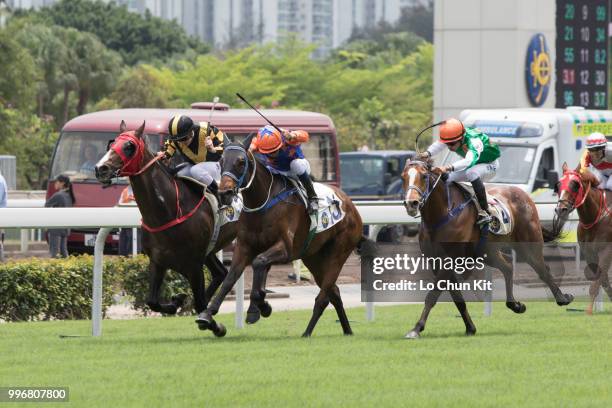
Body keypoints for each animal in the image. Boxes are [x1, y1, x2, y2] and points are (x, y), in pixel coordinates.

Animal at [95, 121, 237, 338]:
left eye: (129, 146)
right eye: (112, 143)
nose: (100, 168)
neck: (169, 209)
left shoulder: (194, 264)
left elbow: (199, 303)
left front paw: (215, 325)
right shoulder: (158, 260)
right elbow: (152, 301)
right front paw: (177, 300)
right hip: (209, 250)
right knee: (220, 272)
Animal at [198, 135, 366, 336]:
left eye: (241, 162)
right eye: (221, 162)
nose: (224, 193)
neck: (262, 203)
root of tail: (351, 206)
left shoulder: (285, 249)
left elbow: (259, 263)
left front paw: (260, 306)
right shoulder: (244, 246)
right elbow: (230, 278)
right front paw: (207, 314)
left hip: (339, 252)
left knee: (323, 297)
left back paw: (307, 333)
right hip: (314, 258)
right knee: (334, 292)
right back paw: (347, 330)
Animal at [402, 159, 572, 338]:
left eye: (424, 176)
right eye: (403, 177)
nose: (411, 203)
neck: (442, 215)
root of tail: (524, 195)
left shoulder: (451, 258)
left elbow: (433, 294)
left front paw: (416, 328)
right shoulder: (435, 261)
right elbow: (456, 297)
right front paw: (470, 327)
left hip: (528, 245)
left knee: (543, 270)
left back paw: (562, 298)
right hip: (486, 252)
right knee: (507, 267)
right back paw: (515, 305)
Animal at [556, 163, 612, 316]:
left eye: (575, 184)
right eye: (558, 184)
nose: (561, 209)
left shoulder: (606, 250)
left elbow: (597, 282)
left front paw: (588, 311)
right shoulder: (589, 253)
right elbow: (603, 281)